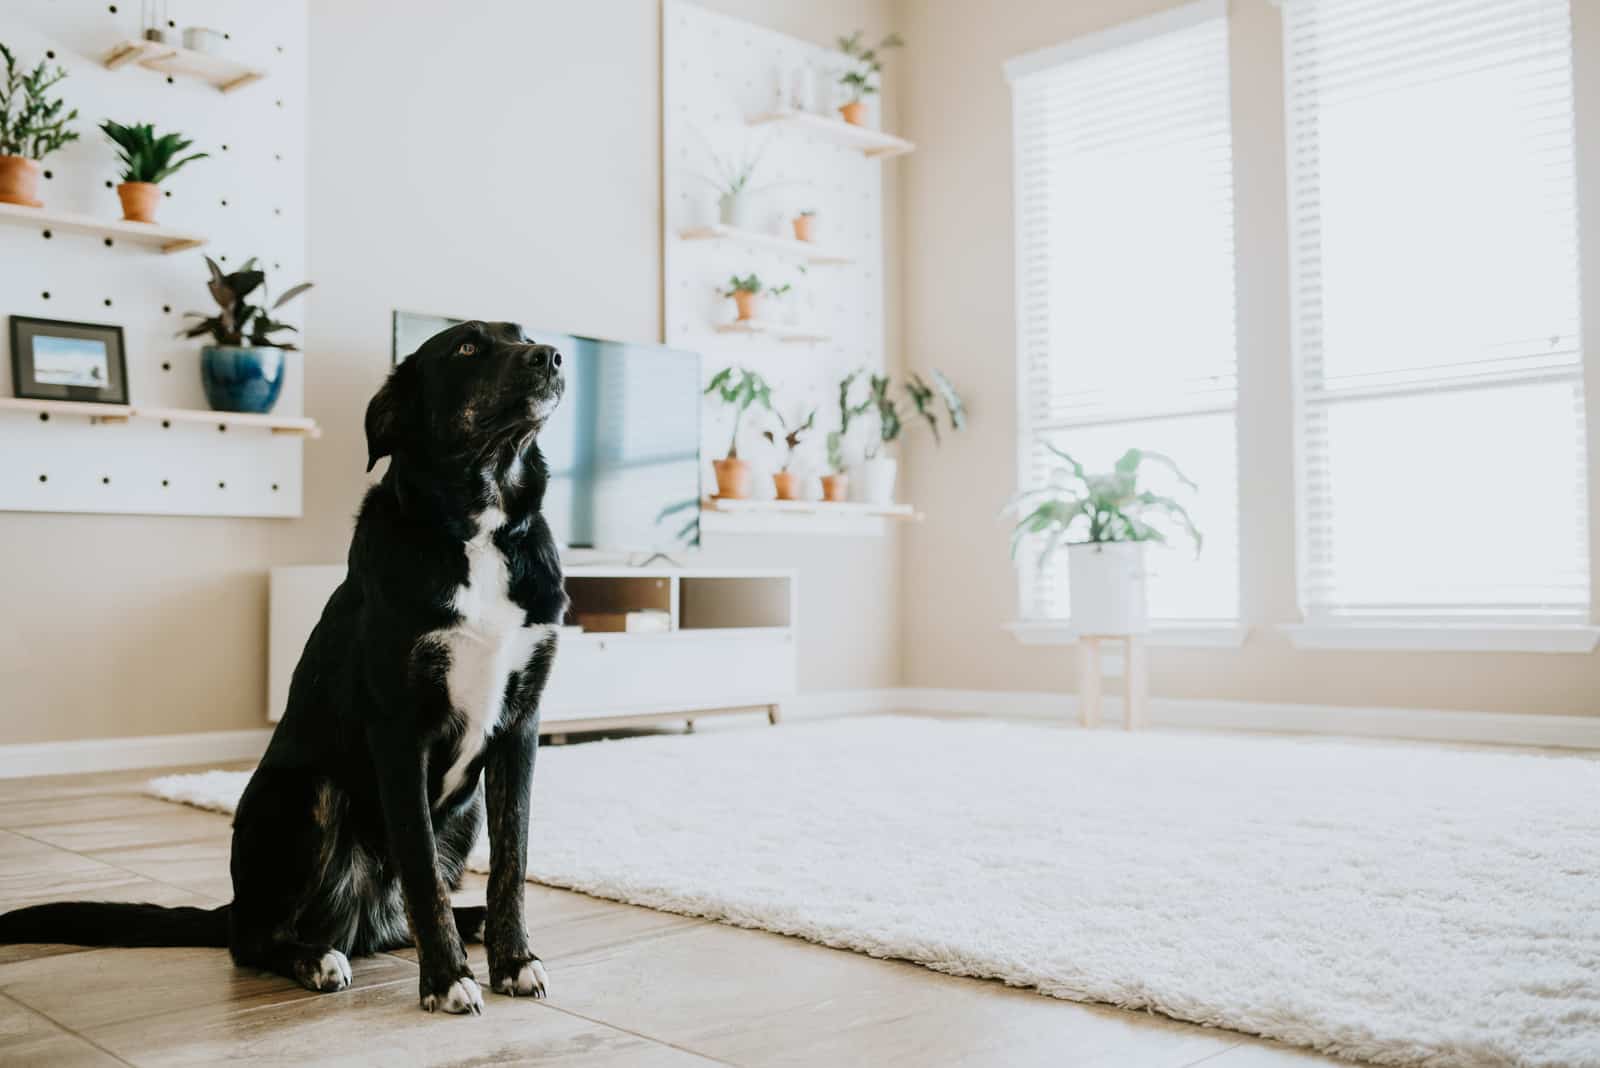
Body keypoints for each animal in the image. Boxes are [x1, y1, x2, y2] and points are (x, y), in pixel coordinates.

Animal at [0, 321, 572, 1016]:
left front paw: (513, 960)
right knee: (257, 938)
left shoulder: (521, 727)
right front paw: (446, 978)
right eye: (467, 348)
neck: (480, 527)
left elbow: (511, 865)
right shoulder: (400, 730)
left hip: (458, 817)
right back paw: (314, 957)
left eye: (523, 335)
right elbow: (422, 872)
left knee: (397, 915)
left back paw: (472, 926)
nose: (553, 356)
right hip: (304, 793)